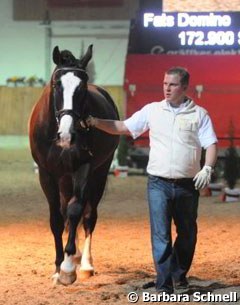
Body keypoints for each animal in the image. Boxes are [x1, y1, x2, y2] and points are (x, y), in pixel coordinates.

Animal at [28, 45, 120, 284]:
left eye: (82, 87)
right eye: (56, 84)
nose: (66, 135)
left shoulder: (84, 168)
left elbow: (76, 210)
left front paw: (68, 269)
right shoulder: (47, 174)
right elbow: (57, 219)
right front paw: (58, 267)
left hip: (99, 173)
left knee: (88, 216)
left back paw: (85, 263)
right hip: (64, 178)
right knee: (66, 212)